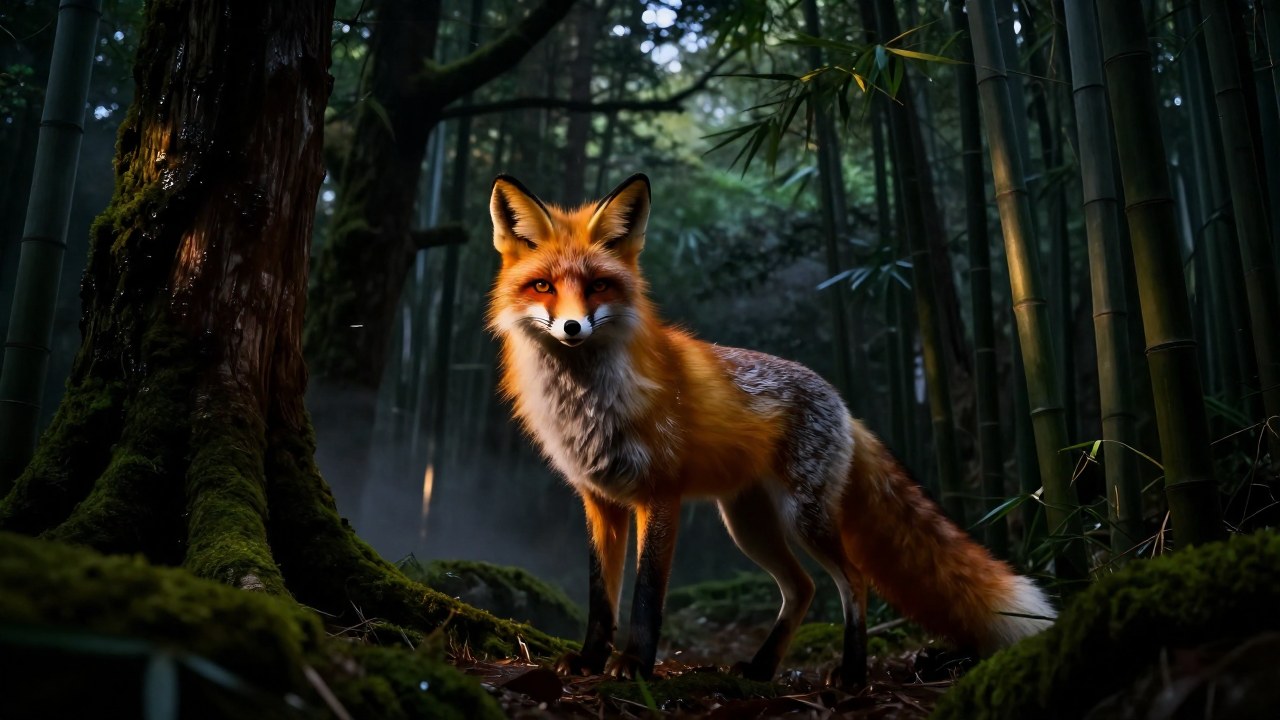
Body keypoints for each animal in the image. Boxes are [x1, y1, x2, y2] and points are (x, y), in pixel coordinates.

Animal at [486, 172, 1055, 686]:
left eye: (599, 286)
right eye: (543, 286)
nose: (572, 327)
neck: (588, 402)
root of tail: (845, 408)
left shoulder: (659, 495)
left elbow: (647, 595)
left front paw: (635, 665)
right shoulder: (600, 501)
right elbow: (600, 597)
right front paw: (588, 660)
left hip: (803, 518)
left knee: (854, 582)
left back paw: (852, 674)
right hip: (748, 525)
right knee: (802, 588)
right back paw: (761, 668)